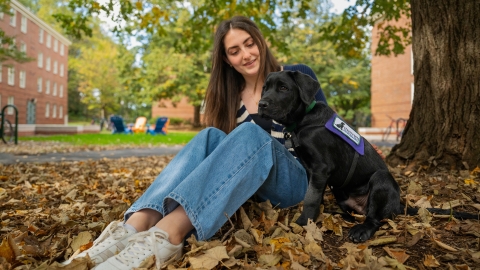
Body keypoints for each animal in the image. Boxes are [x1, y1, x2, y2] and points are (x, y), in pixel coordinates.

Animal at [260, 70, 478, 243]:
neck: (303, 121)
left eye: (283, 88)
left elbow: (311, 197)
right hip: (341, 194)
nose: (261, 104)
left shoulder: (321, 169)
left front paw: (304, 222)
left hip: (381, 180)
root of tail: (398, 205)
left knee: (374, 219)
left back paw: (361, 230)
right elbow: (314, 194)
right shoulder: (311, 170)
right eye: (265, 88)